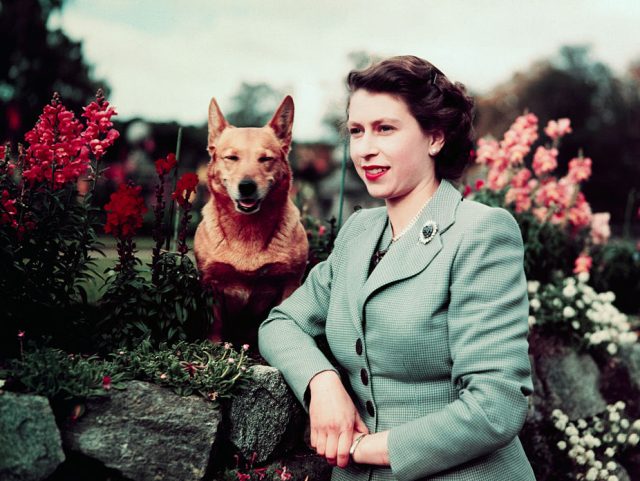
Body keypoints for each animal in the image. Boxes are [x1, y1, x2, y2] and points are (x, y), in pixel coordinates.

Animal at [194, 95, 308, 346]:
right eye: (231, 158)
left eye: (265, 159)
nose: (246, 186)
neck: (247, 230)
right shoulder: (211, 283)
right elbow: (215, 325)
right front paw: (214, 347)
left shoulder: (290, 283)